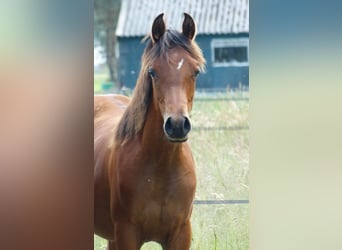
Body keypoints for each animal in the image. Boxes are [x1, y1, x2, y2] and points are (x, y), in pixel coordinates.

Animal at [94, 13, 206, 248]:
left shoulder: (181, 234)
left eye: (196, 72)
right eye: (152, 72)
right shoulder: (127, 233)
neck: (161, 169)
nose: (177, 125)